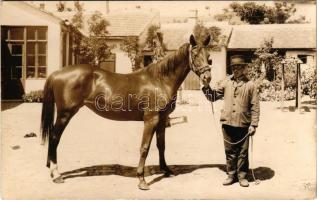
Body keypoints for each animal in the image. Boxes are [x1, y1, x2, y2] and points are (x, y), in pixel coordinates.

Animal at [40, 34, 211, 191]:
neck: (160, 80)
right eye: (195, 55)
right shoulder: (151, 119)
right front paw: (142, 180)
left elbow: (161, 145)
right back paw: (56, 174)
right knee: (54, 138)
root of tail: (57, 73)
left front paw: (166, 170)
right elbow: (144, 147)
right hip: (65, 114)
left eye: (209, 56)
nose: (207, 78)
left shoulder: (162, 119)